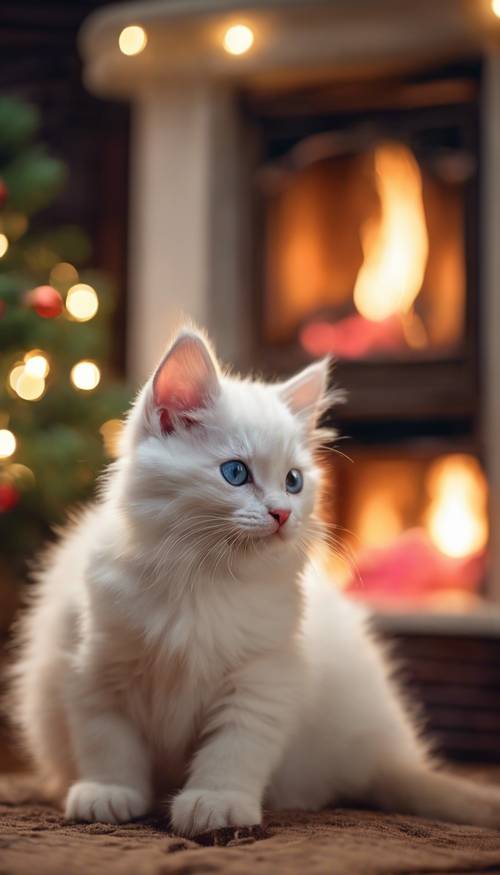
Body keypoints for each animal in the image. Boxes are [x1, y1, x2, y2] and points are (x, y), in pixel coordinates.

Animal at [8, 328, 500, 836]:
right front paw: (109, 794)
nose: (282, 513)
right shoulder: (94, 667)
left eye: (294, 481)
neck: (202, 579)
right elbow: (107, 742)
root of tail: (382, 755)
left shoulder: (263, 676)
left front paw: (216, 803)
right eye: (235, 472)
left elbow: (235, 749)